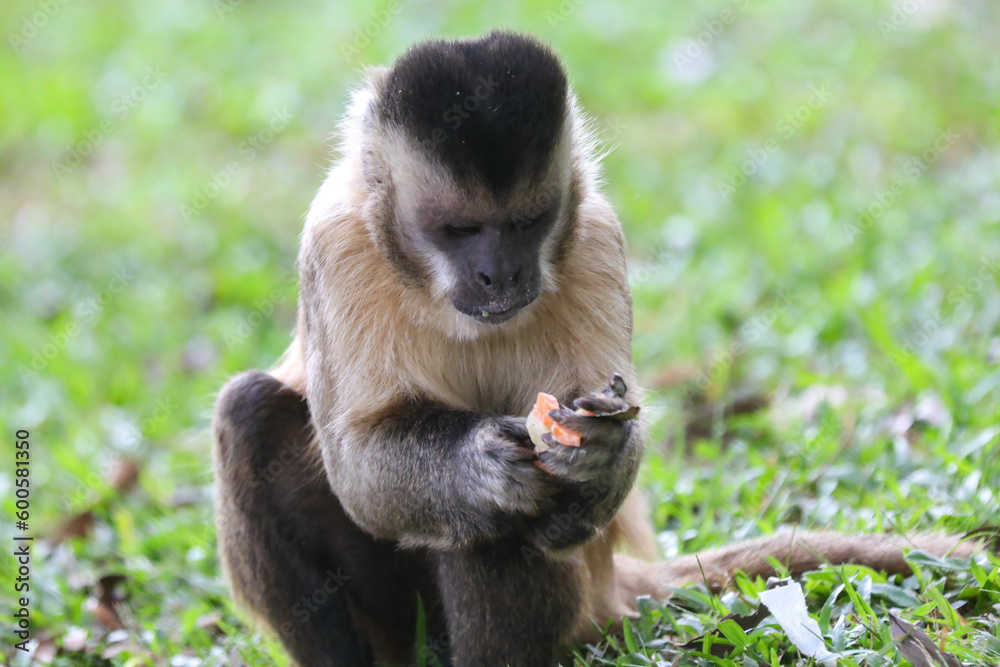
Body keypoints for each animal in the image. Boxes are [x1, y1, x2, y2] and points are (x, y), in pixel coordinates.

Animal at [213, 31, 982, 667]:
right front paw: (477, 462)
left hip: (583, 601)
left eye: (525, 223)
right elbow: (359, 467)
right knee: (251, 413)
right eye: (460, 230)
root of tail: (613, 589)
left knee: (515, 518)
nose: (500, 274)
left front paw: (600, 451)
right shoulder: (335, 242)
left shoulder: (595, 237)